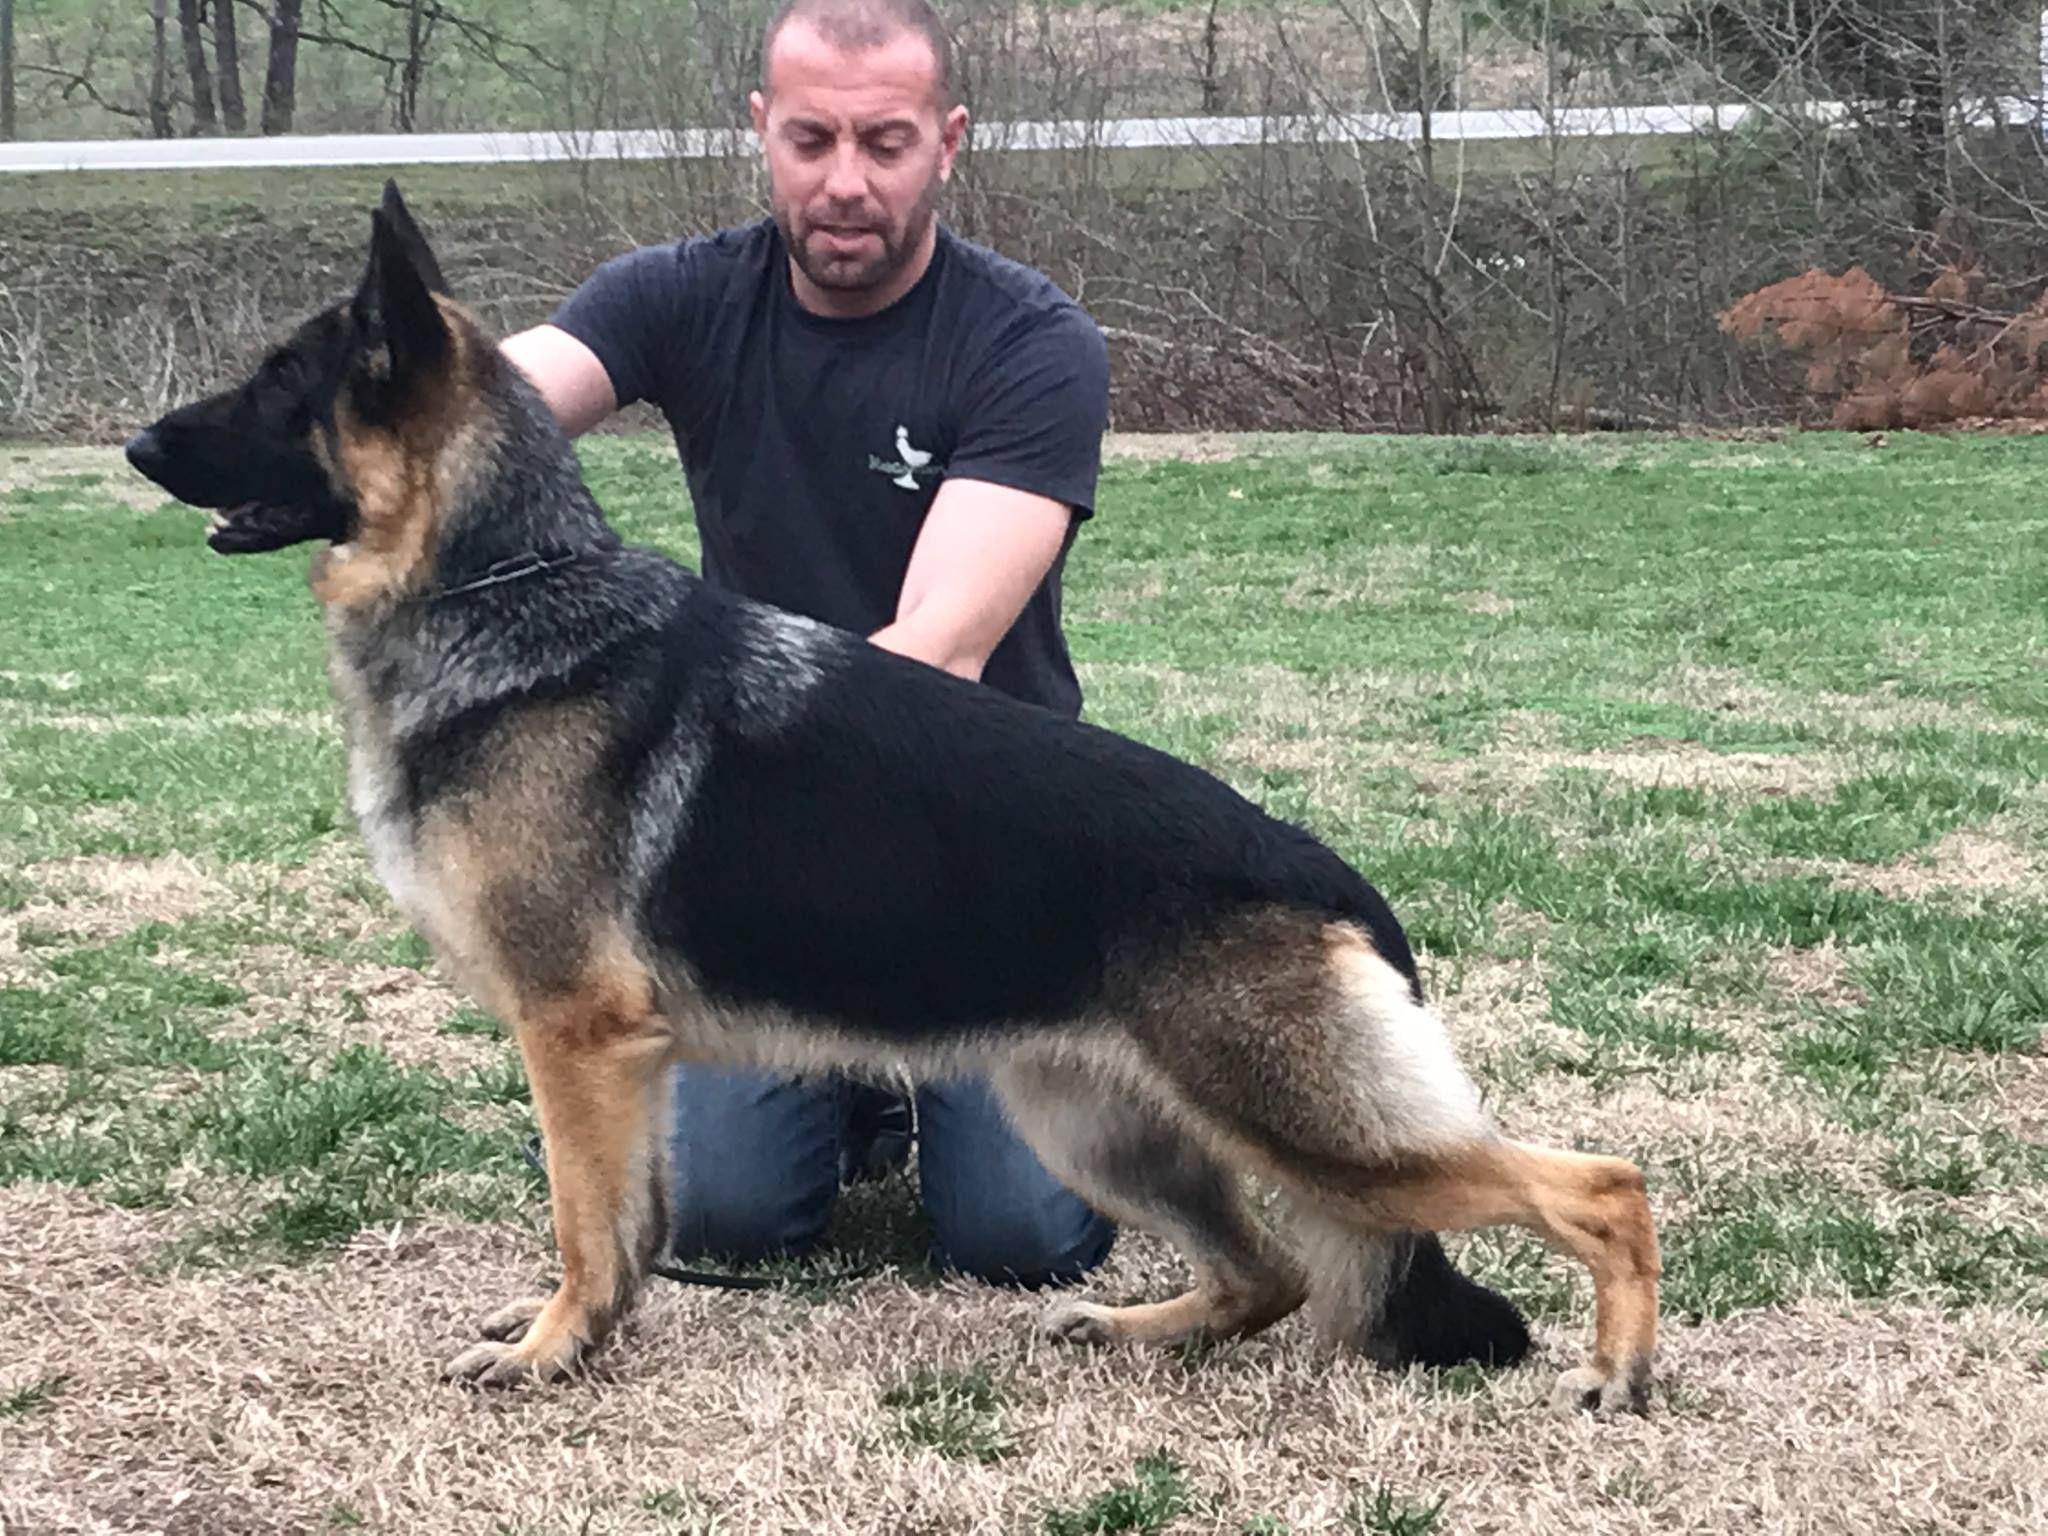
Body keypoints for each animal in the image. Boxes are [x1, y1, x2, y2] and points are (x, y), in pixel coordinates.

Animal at [123, 186, 1662, 1417]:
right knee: (1271, 1274)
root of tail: (1329, 875)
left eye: (277, 386)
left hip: (1303, 1128)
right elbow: (629, 1223)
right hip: (1099, 1124)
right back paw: (1138, 1329)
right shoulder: (626, 1058)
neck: (505, 589)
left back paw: (1617, 1371)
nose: (136, 445)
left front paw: (553, 1350)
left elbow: (580, 1220)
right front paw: (591, 1334)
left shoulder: (573, 1034)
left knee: (1599, 1185)